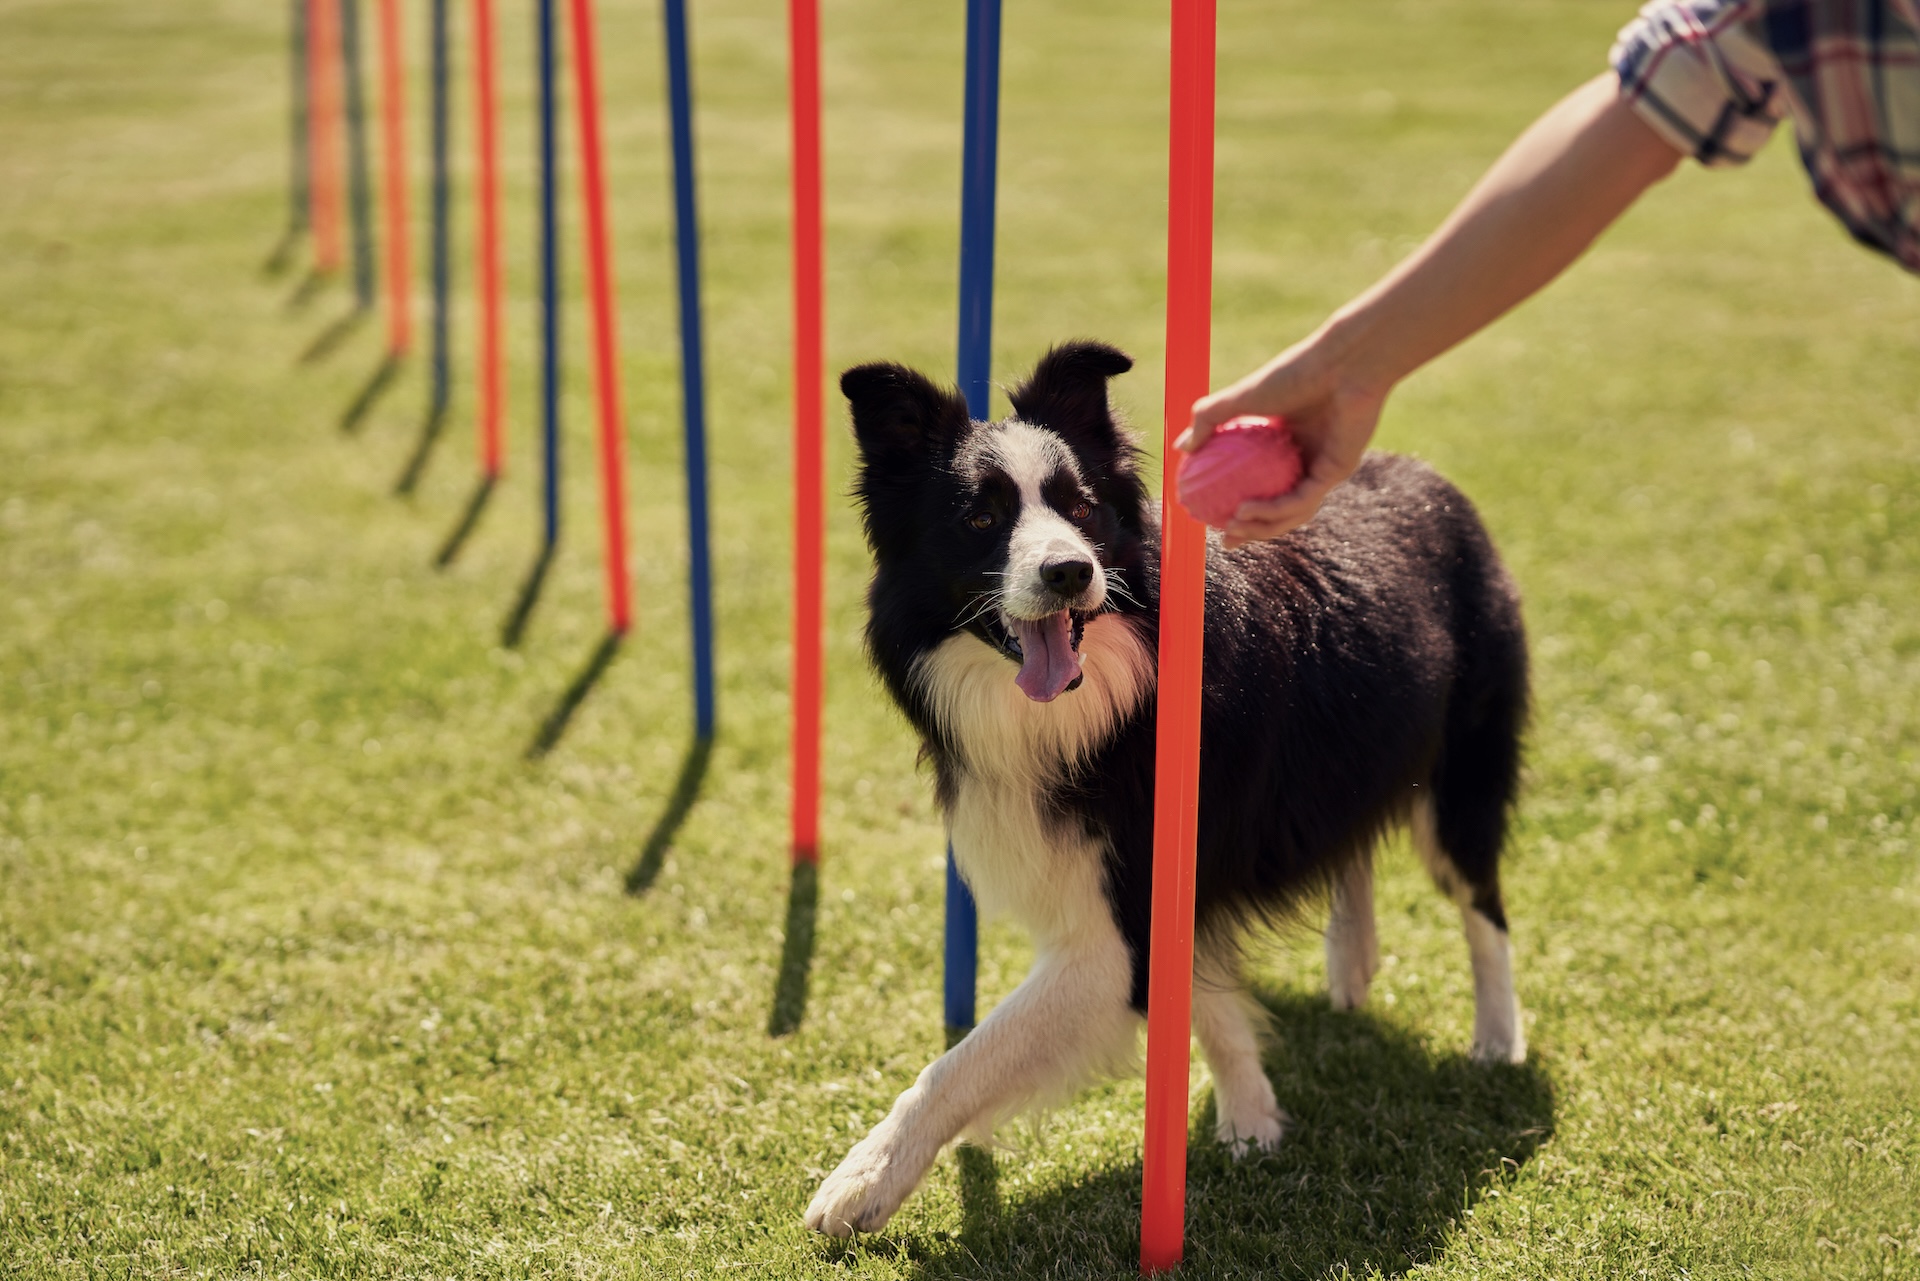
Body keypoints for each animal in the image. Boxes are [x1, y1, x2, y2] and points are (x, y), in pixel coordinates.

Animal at [810, 343, 1528, 1244]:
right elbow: (1204, 996)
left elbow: (965, 1061)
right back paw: (1353, 960)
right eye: (979, 518)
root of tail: (1422, 472)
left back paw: (1498, 1039)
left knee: (1482, 901)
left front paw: (860, 1179)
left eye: (1082, 507)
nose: (1069, 569)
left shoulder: (1118, 924)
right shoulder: (1163, 895)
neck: (1103, 702)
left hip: (1464, 767)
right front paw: (1252, 1116)